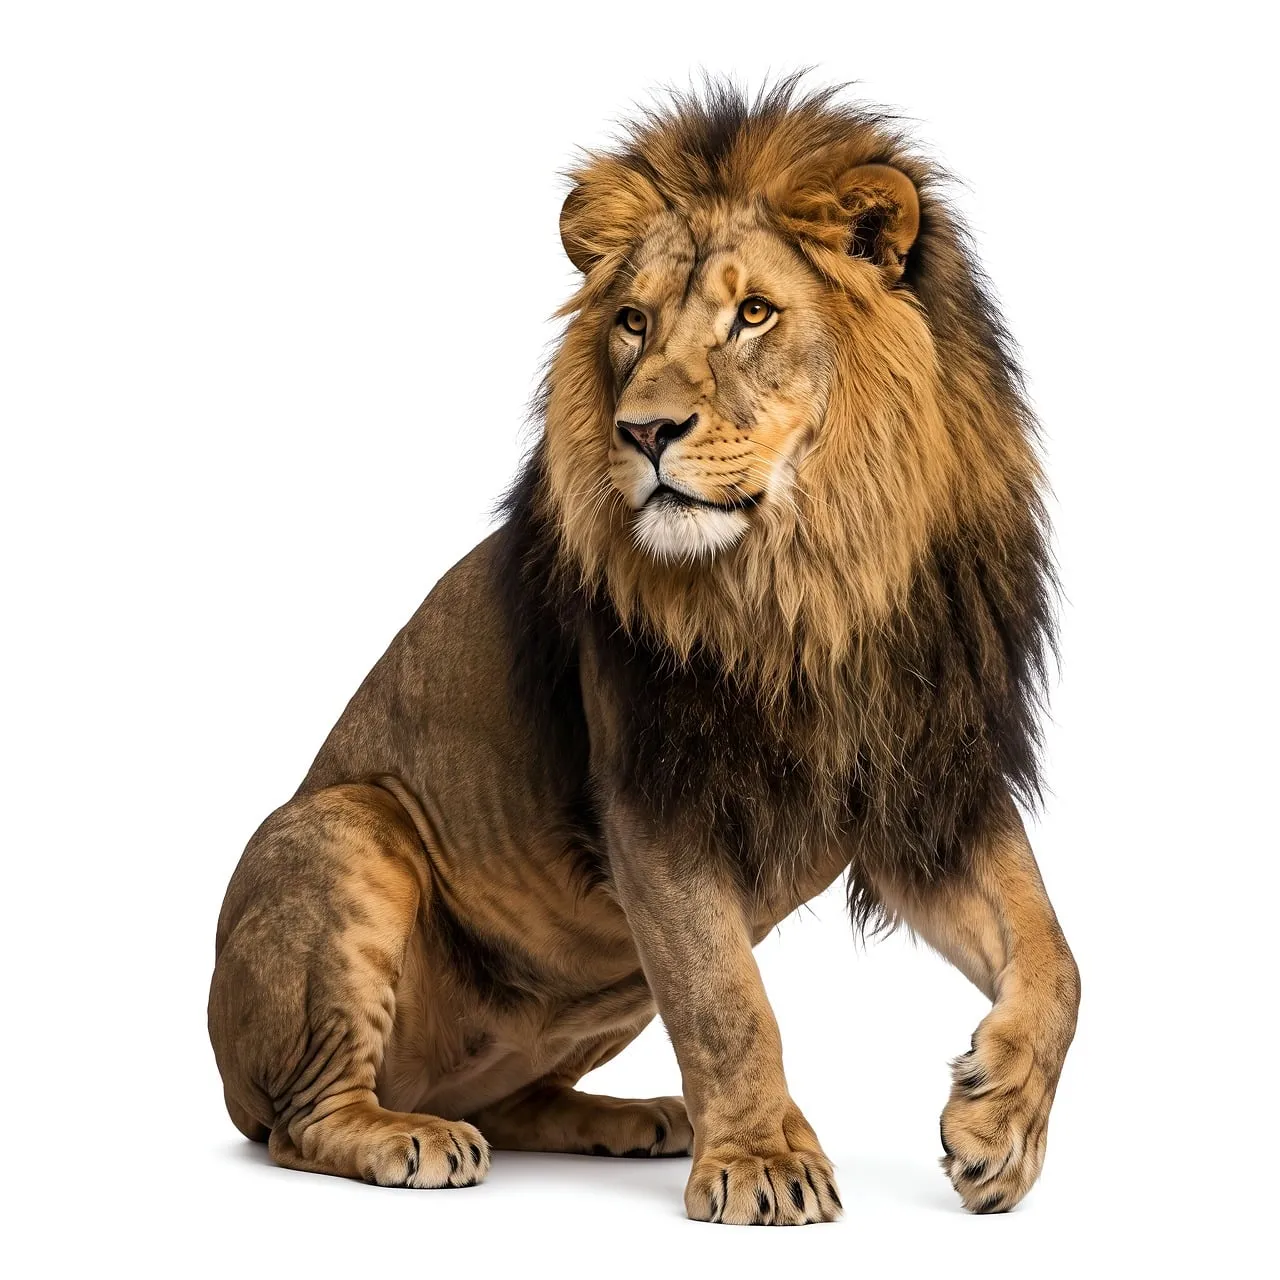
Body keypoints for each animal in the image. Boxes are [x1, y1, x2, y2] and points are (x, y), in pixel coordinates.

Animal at [209, 78, 1079, 1224]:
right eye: (632, 322)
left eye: (752, 313)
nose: (643, 430)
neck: (812, 575)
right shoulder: (654, 796)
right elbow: (725, 997)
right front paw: (761, 1160)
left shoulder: (923, 781)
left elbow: (1054, 954)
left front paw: (998, 1126)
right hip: (342, 827)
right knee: (300, 1119)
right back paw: (406, 1135)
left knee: (515, 1099)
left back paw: (637, 1118)